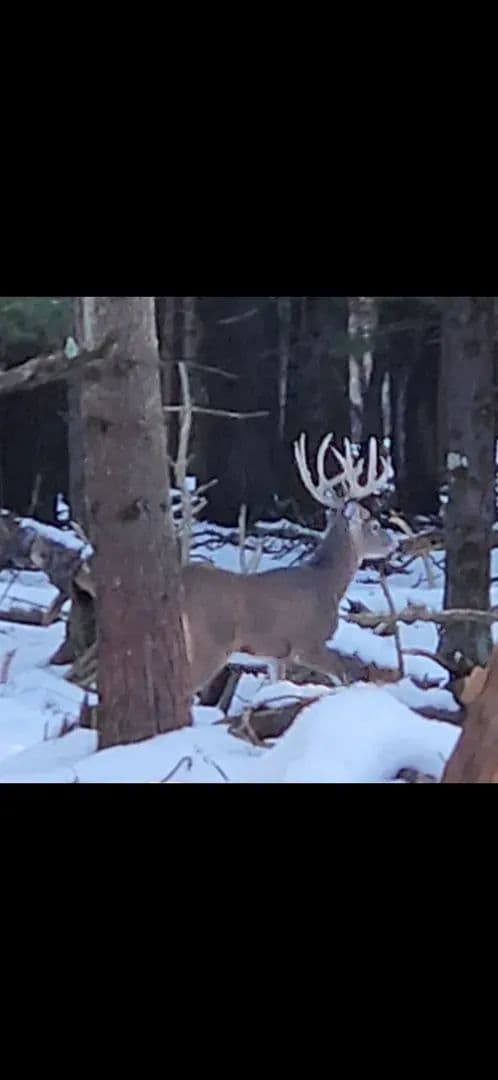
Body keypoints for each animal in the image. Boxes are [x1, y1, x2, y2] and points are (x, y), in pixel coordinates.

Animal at [181, 433, 397, 694]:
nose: (394, 543)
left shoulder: (276, 657)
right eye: (374, 526)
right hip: (209, 643)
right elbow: (342, 675)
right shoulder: (306, 643)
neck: (326, 583)